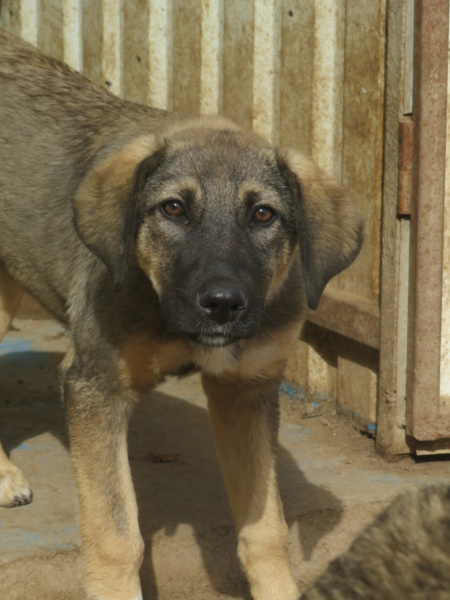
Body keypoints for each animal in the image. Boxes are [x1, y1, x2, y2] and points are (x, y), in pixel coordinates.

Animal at [0, 32, 364, 600]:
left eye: (263, 215)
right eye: (173, 208)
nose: (223, 304)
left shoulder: (247, 391)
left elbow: (265, 527)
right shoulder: (95, 387)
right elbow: (116, 533)